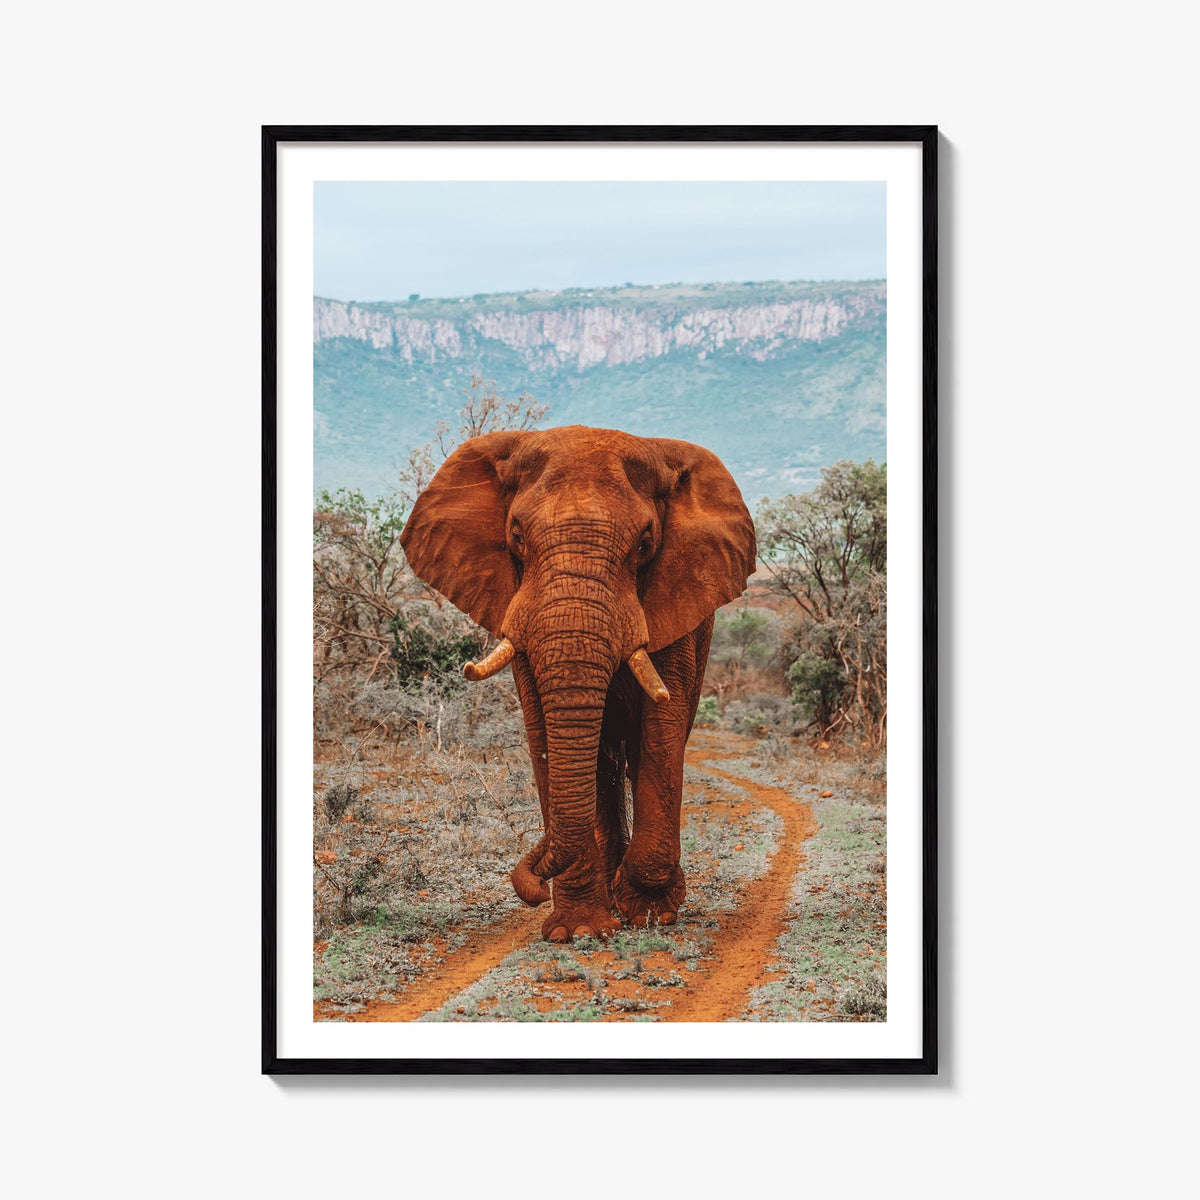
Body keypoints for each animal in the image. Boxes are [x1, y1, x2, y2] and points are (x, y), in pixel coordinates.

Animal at [399, 425, 756, 943]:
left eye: (645, 544)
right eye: (515, 536)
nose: (530, 886)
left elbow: (663, 724)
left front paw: (649, 913)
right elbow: (542, 731)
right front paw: (580, 931)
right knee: (603, 765)